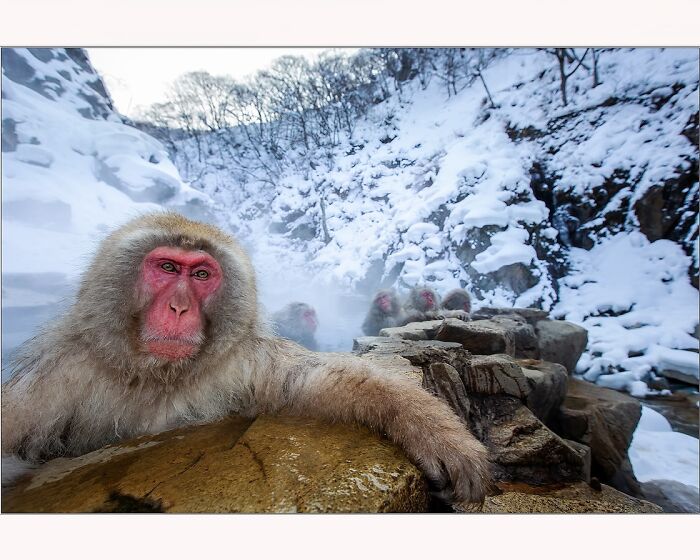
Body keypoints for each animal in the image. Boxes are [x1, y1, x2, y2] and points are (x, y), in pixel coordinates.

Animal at [1, 212, 492, 506]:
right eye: (167, 268)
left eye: (201, 274)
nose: (178, 308)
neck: (158, 376)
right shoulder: (55, 376)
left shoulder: (240, 363)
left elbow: (309, 381)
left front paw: (431, 430)